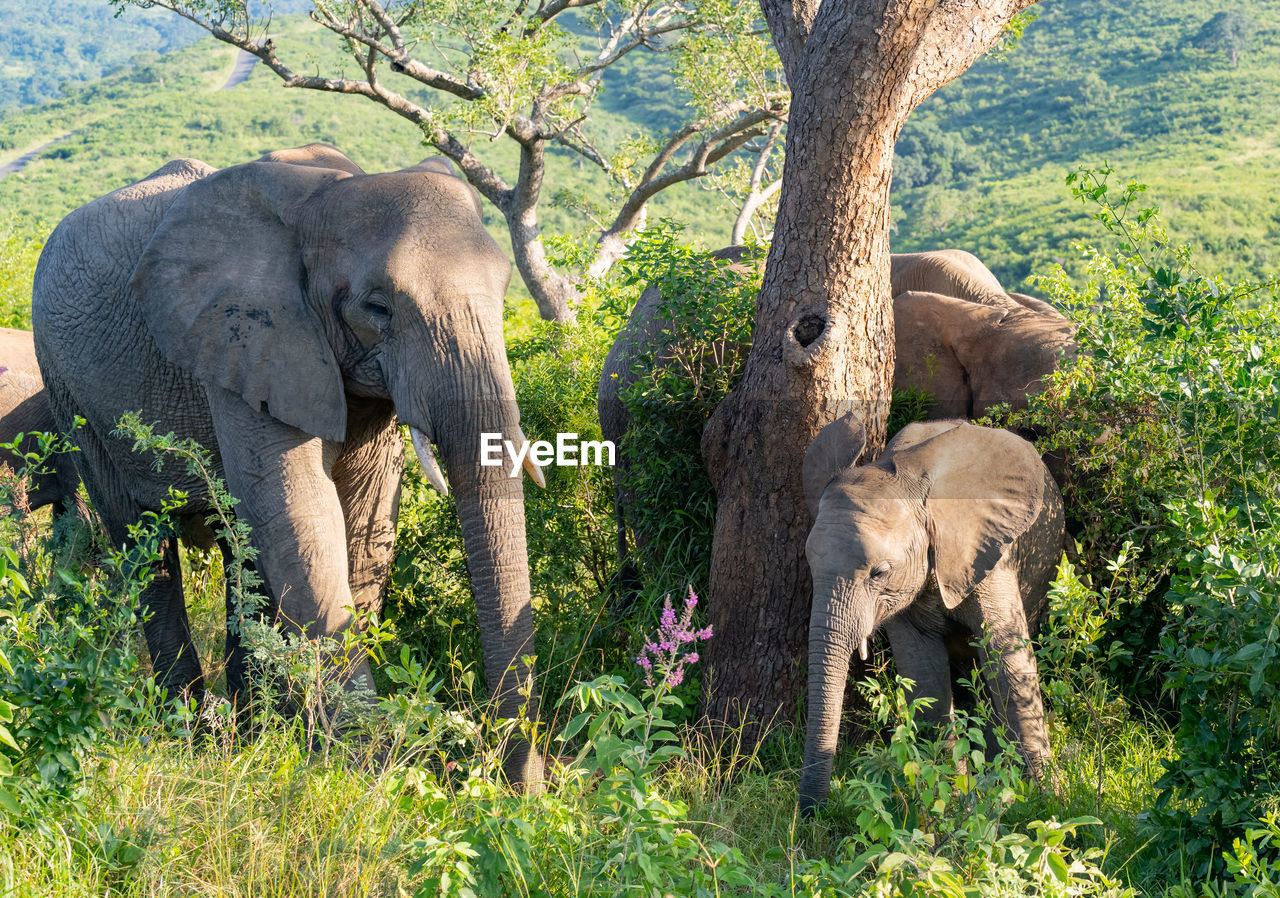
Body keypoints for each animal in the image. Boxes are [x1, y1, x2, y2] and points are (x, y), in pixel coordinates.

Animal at [35, 142, 545, 787]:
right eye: (377, 307)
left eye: (506, 294)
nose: (519, 788)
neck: (324, 197)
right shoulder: (244, 337)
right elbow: (303, 520)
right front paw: (373, 774)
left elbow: (363, 523)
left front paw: (325, 753)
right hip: (69, 389)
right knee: (141, 544)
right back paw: (195, 735)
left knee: (241, 553)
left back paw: (249, 735)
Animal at [798, 419, 1059, 813]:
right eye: (810, 567)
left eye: (879, 573)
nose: (811, 815)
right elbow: (924, 674)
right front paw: (951, 800)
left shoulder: (988, 552)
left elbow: (1008, 660)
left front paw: (1046, 804)